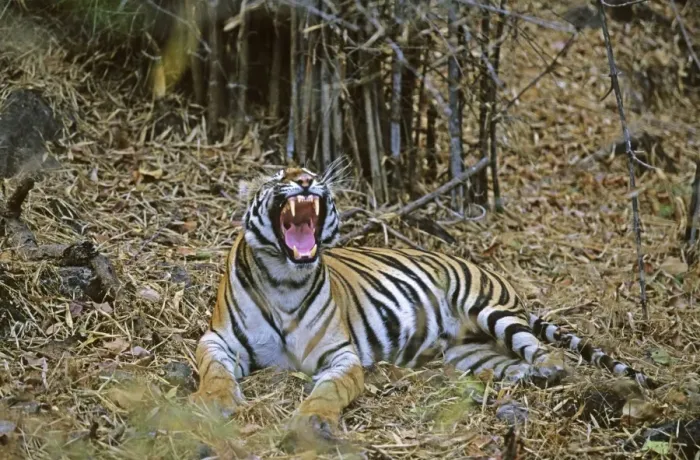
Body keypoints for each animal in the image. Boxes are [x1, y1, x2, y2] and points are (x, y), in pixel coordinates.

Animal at [190, 164, 657, 452]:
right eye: (276, 175)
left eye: (312, 172)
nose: (306, 180)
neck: (285, 278)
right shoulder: (218, 338)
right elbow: (213, 370)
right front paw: (214, 402)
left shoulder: (341, 356)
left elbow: (328, 391)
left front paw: (315, 422)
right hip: (470, 354)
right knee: (513, 366)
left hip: (490, 309)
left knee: (552, 356)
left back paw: (556, 375)